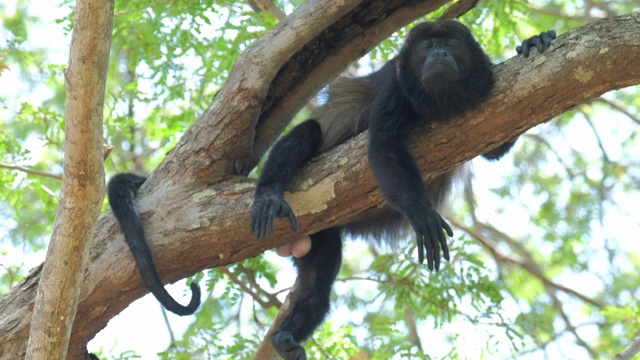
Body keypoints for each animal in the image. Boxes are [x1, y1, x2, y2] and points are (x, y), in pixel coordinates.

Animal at [250, 21, 556, 358]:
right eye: (427, 47)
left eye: (451, 43)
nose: (439, 53)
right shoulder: (396, 84)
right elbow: (384, 146)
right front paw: (422, 215)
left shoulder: (488, 83)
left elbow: (495, 146)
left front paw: (534, 40)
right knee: (309, 131)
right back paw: (269, 195)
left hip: (320, 234)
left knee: (316, 284)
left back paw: (286, 336)